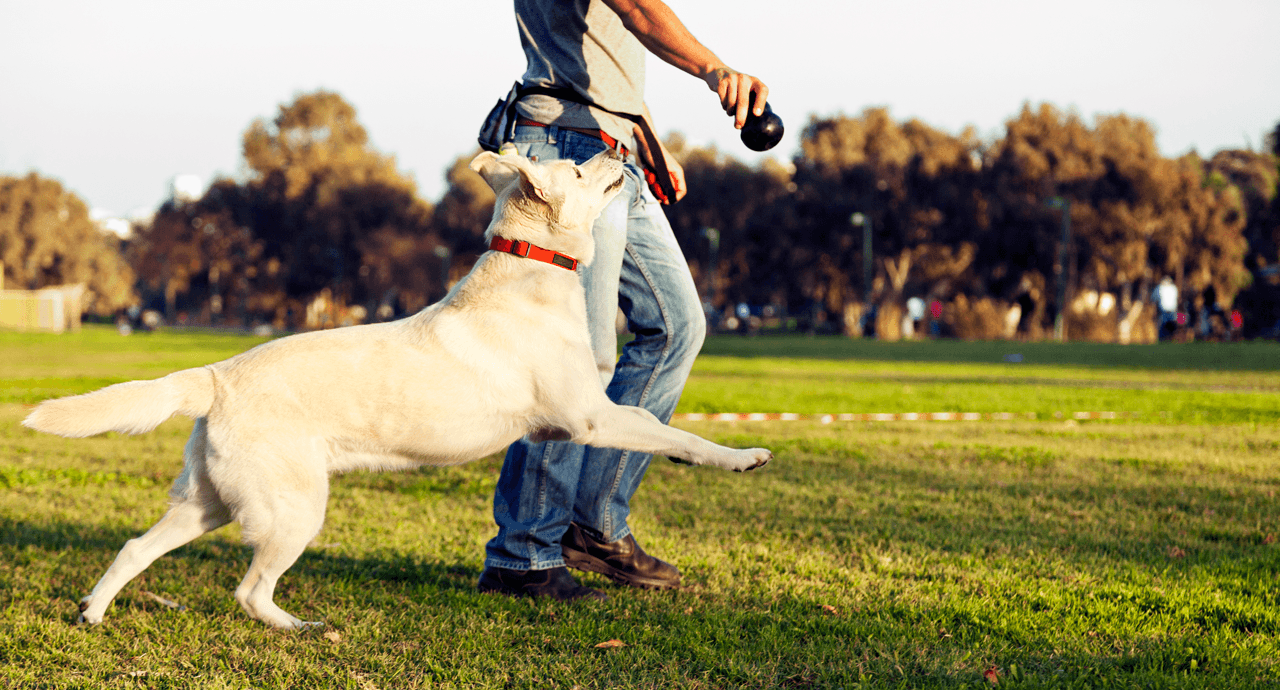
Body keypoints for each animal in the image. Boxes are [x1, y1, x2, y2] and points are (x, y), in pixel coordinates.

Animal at [22, 148, 768, 629]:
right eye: (580, 169)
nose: (621, 148)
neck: (530, 269)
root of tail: (216, 375)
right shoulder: (590, 417)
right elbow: (670, 431)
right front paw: (741, 457)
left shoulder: (577, 422)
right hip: (293, 509)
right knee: (249, 590)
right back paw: (298, 627)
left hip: (209, 503)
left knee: (134, 547)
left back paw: (93, 612)